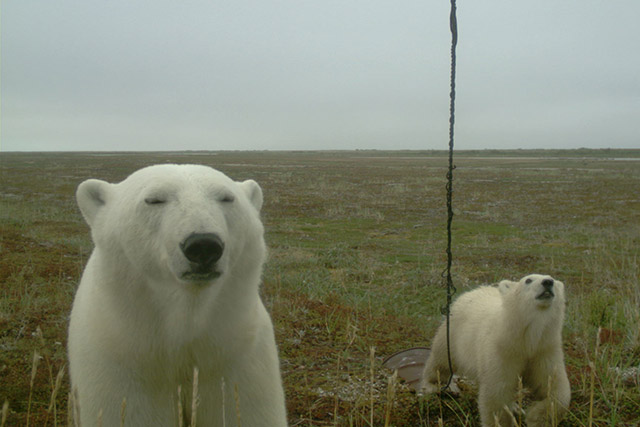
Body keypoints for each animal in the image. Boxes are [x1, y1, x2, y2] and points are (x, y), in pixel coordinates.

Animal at [420, 276, 568, 426]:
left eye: (553, 280)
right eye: (528, 280)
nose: (548, 282)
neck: (525, 340)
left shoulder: (544, 350)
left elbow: (556, 388)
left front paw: (535, 417)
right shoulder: (502, 351)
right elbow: (496, 395)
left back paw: (515, 407)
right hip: (452, 333)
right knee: (441, 360)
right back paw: (432, 385)